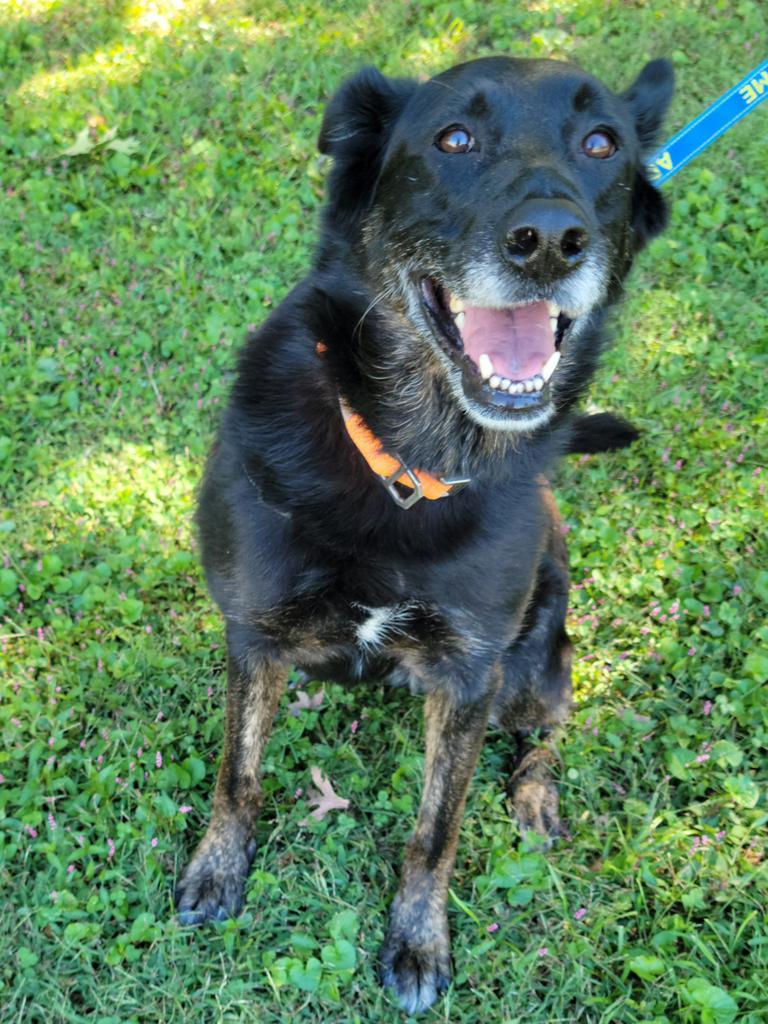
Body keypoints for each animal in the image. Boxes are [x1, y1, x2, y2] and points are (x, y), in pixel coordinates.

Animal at [176, 59, 671, 1011]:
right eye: (454, 139)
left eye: (603, 145)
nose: (551, 240)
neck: (413, 461)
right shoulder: (252, 633)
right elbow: (238, 773)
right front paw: (218, 870)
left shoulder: (472, 673)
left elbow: (436, 828)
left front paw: (417, 941)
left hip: (532, 667)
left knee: (549, 726)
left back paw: (535, 799)